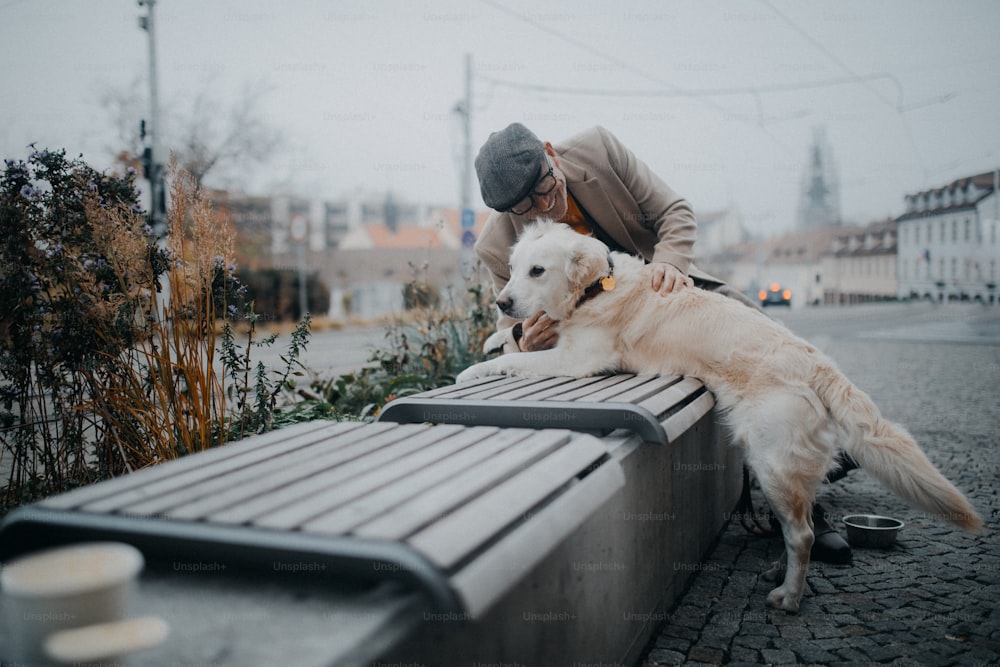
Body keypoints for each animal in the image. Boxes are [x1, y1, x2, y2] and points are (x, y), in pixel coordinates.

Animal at [460, 222, 984, 612]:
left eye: (538, 271)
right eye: (512, 270)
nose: (502, 301)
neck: (596, 288)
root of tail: (816, 362)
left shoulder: (577, 361)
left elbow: (516, 362)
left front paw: (472, 370)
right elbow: (515, 345)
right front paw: (495, 337)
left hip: (773, 462)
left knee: (802, 534)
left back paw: (788, 596)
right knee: (797, 527)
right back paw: (777, 571)